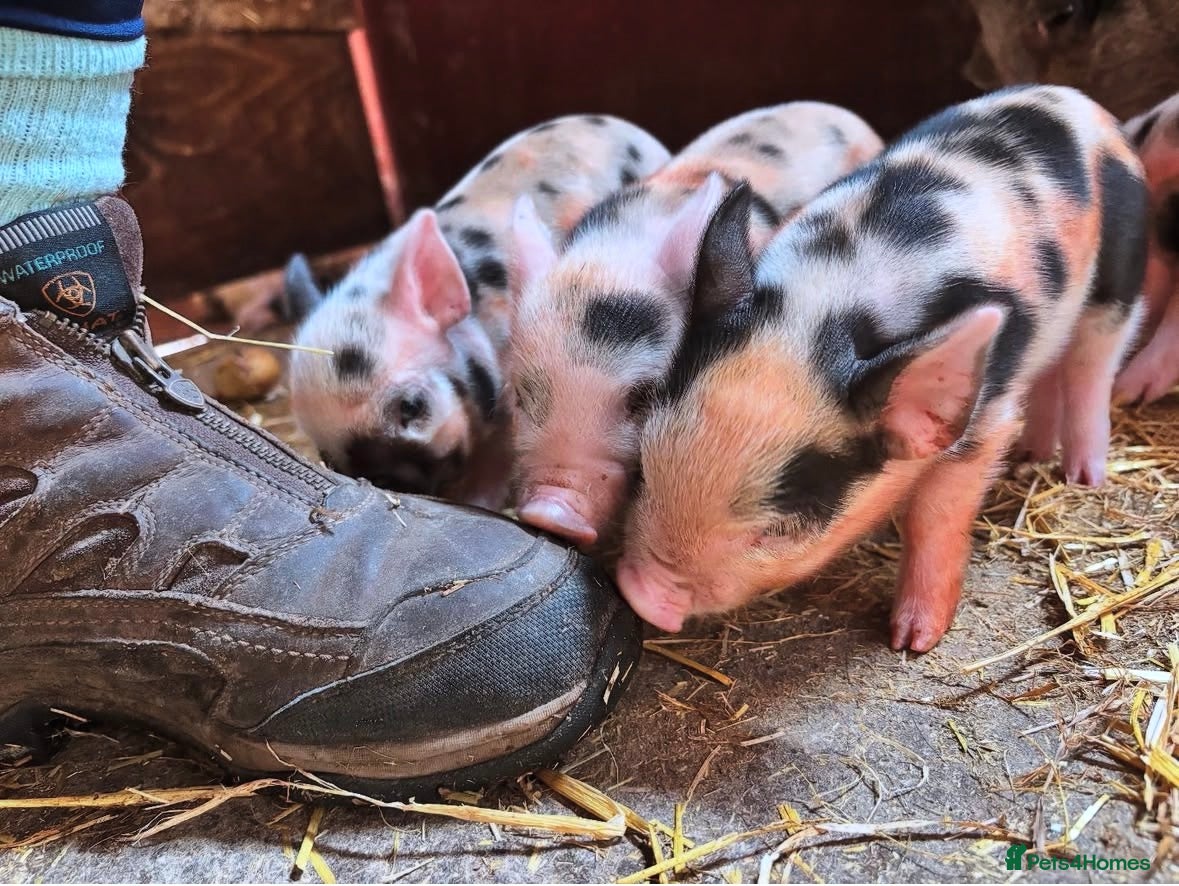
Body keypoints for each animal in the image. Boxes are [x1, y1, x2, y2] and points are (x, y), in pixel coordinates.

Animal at [617, 86, 1147, 652]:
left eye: (778, 529)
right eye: (644, 467)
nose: (640, 593)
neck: (819, 311)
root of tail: (1076, 98)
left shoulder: (985, 416)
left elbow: (934, 516)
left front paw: (912, 641)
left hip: (1121, 270)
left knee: (1094, 362)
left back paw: (1085, 477)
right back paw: (1033, 454)